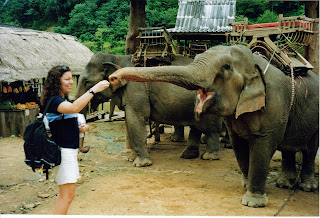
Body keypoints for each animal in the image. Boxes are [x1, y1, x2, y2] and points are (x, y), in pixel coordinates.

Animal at [75, 52, 222, 167]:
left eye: (86, 81)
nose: (87, 148)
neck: (117, 58)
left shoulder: (135, 89)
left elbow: (136, 118)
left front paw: (141, 164)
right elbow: (129, 121)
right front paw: (131, 159)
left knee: (211, 128)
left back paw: (209, 156)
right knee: (196, 126)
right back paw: (188, 155)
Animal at [109, 44, 318, 208]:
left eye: (226, 67)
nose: (113, 77)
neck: (255, 62)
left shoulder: (273, 105)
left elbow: (262, 147)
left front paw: (252, 202)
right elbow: (239, 147)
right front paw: (245, 184)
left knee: (310, 150)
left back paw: (307, 187)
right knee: (289, 149)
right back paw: (284, 184)